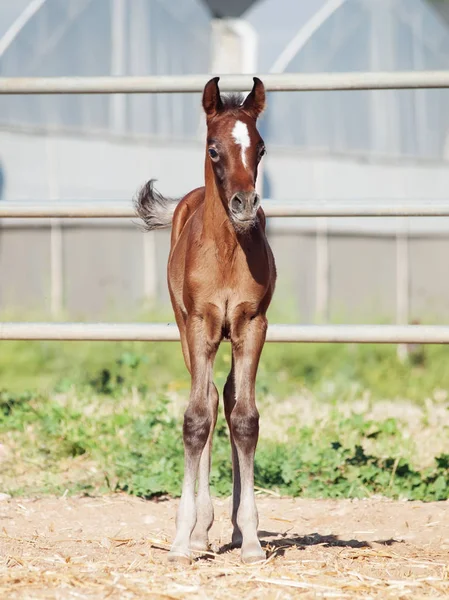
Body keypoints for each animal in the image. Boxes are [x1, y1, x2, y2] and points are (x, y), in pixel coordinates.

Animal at [136, 76, 276, 564]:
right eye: (214, 149)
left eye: (261, 147)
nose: (244, 204)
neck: (228, 251)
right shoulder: (200, 325)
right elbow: (197, 418)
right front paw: (182, 539)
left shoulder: (253, 324)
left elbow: (245, 418)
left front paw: (250, 539)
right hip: (185, 331)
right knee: (211, 400)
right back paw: (200, 531)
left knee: (228, 399)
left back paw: (229, 528)